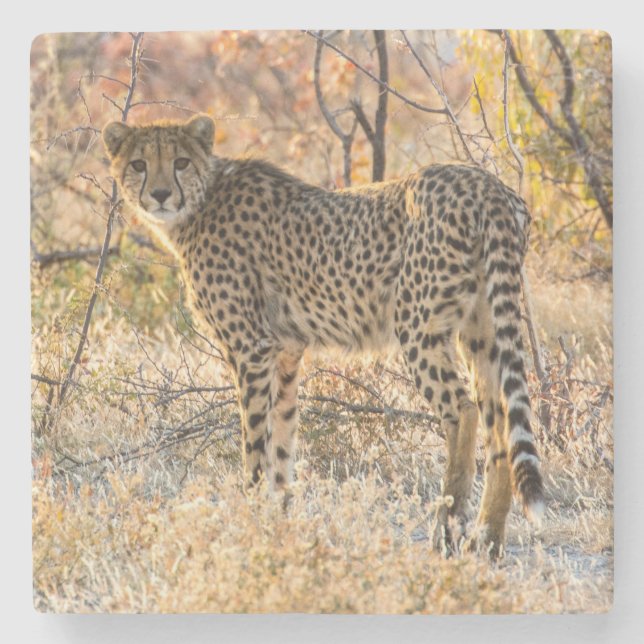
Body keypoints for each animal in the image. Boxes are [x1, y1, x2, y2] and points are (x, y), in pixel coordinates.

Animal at [102, 113, 544, 555]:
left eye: (180, 162)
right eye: (139, 164)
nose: (160, 194)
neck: (202, 200)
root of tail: (483, 183)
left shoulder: (250, 349)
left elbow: (255, 443)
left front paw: (250, 517)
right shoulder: (285, 351)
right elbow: (282, 439)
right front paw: (279, 520)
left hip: (417, 325)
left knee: (463, 410)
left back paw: (447, 530)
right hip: (481, 329)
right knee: (499, 421)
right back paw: (488, 539)